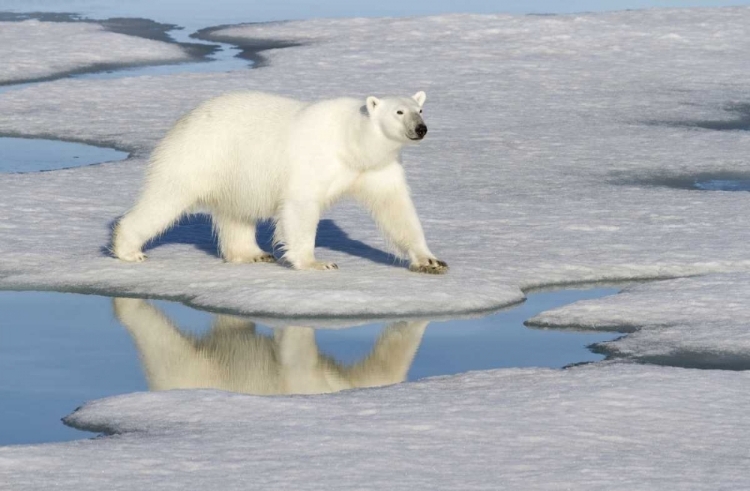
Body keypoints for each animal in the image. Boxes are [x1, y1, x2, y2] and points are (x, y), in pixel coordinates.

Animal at [113, 89, 446, 272]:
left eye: (420, 109)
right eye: (399, 111)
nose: (420, 128)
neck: (351, 142)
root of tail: (184, 119)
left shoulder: (378, 167)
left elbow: (396, 209)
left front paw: (430, 261)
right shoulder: (315, 160)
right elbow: (301, 205)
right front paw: (317, 262)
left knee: (236, 213)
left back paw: (253, 254)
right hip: (200, 155)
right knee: (165, 198)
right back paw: (129, 250)